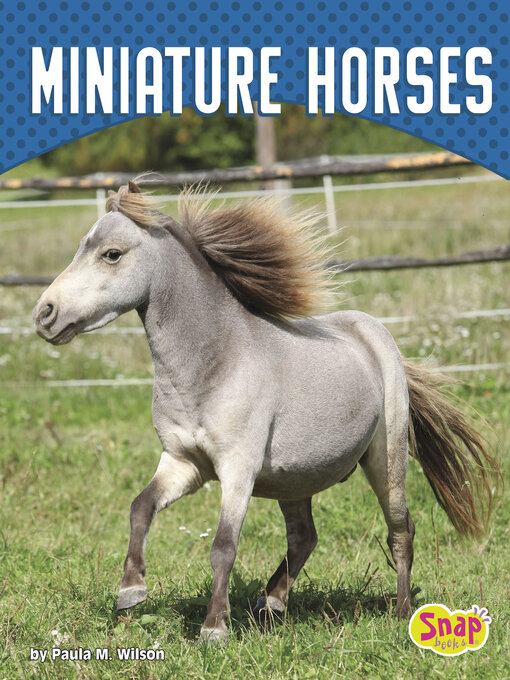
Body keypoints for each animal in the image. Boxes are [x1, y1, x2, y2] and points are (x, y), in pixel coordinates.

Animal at [33, 180, 497, 642]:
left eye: (111, 254)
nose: (44, 314)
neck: (214, 365)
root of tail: (373, 332)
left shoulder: (238, 469)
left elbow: (223, 547)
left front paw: (214, 628)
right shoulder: (184, 463)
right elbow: (140, 508)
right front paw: (131, 592)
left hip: (387, 461)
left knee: (400, 530)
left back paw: (401, 614)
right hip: (295, 481)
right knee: (304, 537)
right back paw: (270, 603)